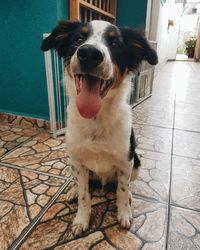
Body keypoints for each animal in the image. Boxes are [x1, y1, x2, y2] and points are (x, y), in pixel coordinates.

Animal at [41, 19, 158, 234]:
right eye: (78, 39)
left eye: (115, 44)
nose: (89, 54)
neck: (96, 118)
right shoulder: (78, 163)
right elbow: (84, 195)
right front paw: (81, 219)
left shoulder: (125, 162)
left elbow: (122, 191)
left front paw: (124, 213)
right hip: (71, 163)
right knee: (79, 184)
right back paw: (72, 191)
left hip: (136, 163)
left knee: (125, 185)